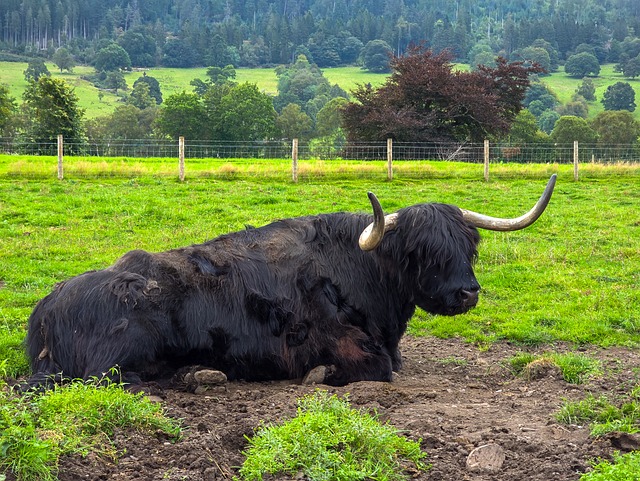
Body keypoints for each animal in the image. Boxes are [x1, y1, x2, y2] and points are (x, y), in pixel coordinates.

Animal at [24, 175, 556, 390]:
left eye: (469, 248)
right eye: (420, 253)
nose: (467, 292)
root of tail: (50, 302)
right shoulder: (349, 348)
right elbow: (377, 370)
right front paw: (321, 375)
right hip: (120, 357)